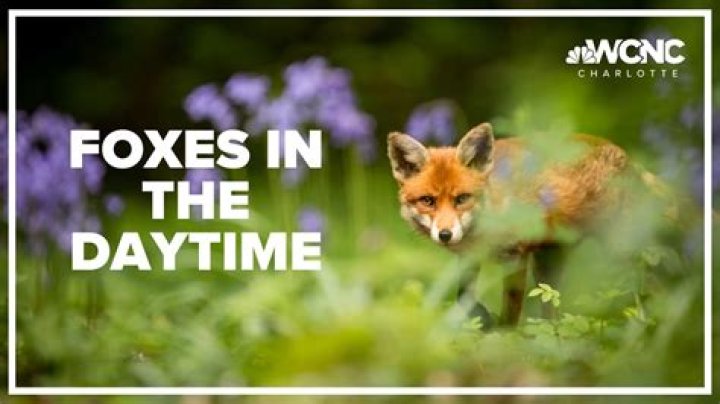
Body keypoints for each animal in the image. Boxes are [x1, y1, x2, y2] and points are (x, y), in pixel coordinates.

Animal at [387, 122, 637, 327]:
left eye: (462, 198)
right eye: (428, 200)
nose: (445, 234)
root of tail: (621, 152)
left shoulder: (515, 256)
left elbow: (510, 314)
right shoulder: (469, 259)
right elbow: (464, 298)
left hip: (619, 249)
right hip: (548, 265)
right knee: (552, 312)